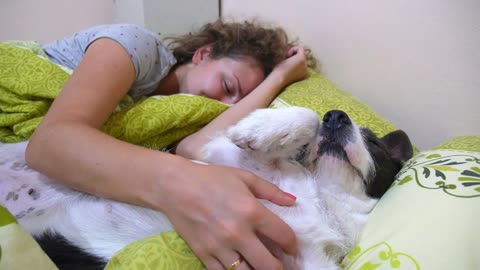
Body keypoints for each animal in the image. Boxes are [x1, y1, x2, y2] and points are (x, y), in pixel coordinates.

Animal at [0, 107, 412, 270]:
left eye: (374, 142)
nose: (336, 116)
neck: (322, 200)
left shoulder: (305, 261)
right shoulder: (218, 159)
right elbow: (301, 118)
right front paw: (261, 128)